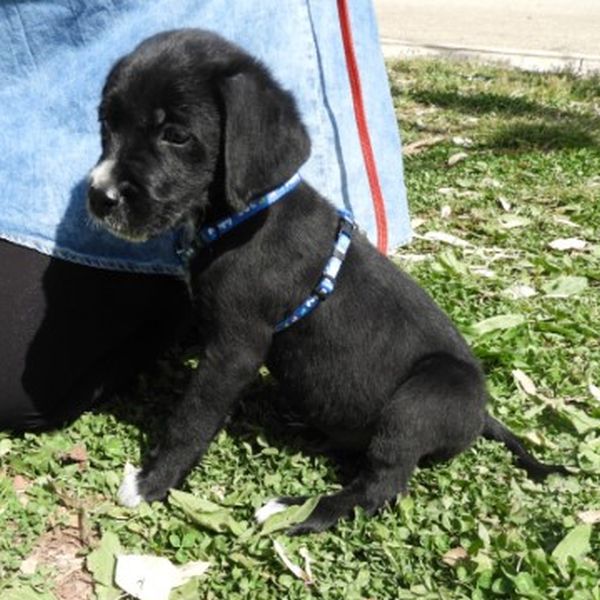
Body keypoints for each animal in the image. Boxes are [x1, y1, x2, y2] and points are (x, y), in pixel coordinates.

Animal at [87, 29, 566, 534]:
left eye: (176, 135)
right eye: (106, 124)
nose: (99, 197)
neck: (243, 217)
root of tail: (480, 417)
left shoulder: (235, 348)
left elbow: (191, 419)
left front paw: (152, 481)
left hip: (421, 400)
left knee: (379, 487)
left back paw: (293, 509)